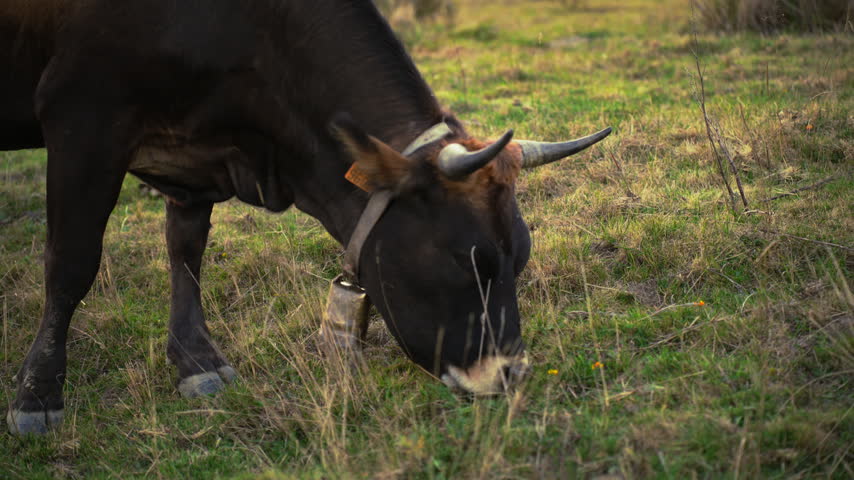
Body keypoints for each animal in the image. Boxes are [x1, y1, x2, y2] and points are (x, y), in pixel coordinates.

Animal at [1, 0, 610, 434]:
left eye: (520, 259)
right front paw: (38, 394)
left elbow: (186, 250)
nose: (508, 374)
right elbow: (72, 263)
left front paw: (196, 361)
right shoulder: (83, 117)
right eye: (465, 261)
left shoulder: (194, 158)